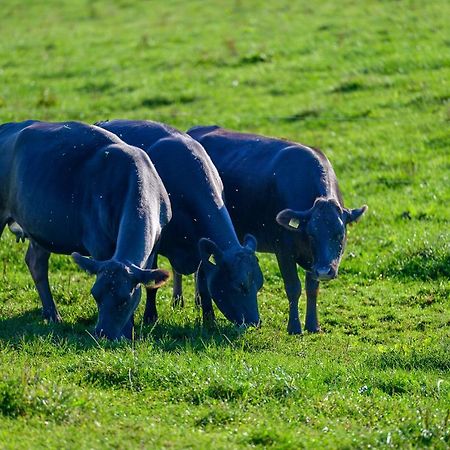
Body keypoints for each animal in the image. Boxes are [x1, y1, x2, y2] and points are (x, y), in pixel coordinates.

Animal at [0, 121, 171, 340]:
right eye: (95, 295)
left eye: (124, 300)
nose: (102, 333)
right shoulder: (99, 244)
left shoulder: (156, 242)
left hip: (40, 227)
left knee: (36, 263)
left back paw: (52, 314)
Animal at [96, 118, 262, 326]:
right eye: (240, 285)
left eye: (259, 284)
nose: (255, 322)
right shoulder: (156, 242)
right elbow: (152, 283)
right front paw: (150, 316)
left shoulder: (200, 246)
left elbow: (203, 283)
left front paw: (209, 319)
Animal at [188, 125, 368, 334]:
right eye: (311, 234)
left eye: (340, 235)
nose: (324, 271)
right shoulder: (283, 250)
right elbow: (293, 287)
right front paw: (294, 327)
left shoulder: (314, 261)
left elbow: (312, 288)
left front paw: (313, 325)